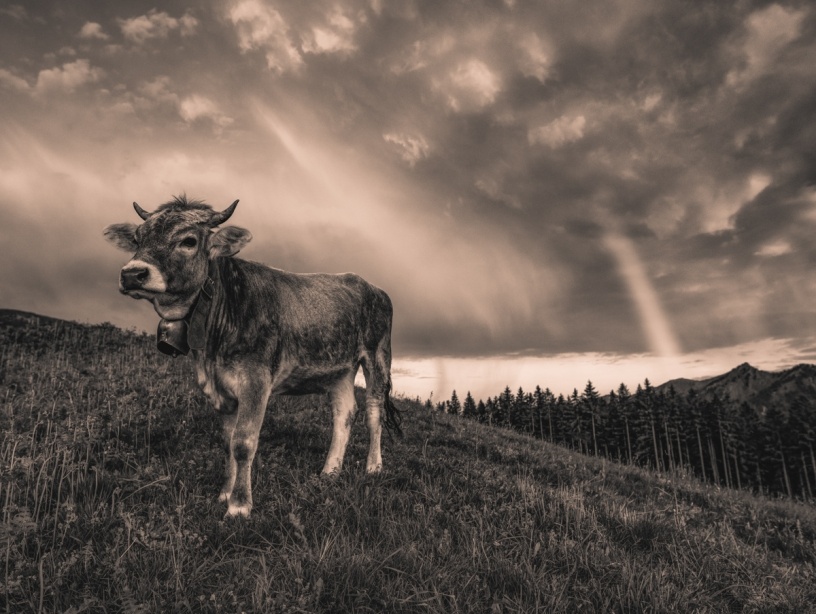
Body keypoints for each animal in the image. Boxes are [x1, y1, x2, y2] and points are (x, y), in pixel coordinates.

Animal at [104, 196, 401, 517]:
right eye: (137, 238)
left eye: (188, 240)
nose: (132, 273)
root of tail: (368, 284)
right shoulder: (219, 387)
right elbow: (228, 442)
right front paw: (224, 493)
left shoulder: (256, 380)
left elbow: (244, 442)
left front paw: (239, 506)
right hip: (338, 370)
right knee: (344, 413)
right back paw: (329, 472)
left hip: (378, 355)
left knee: (373, 412)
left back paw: (373, 468)